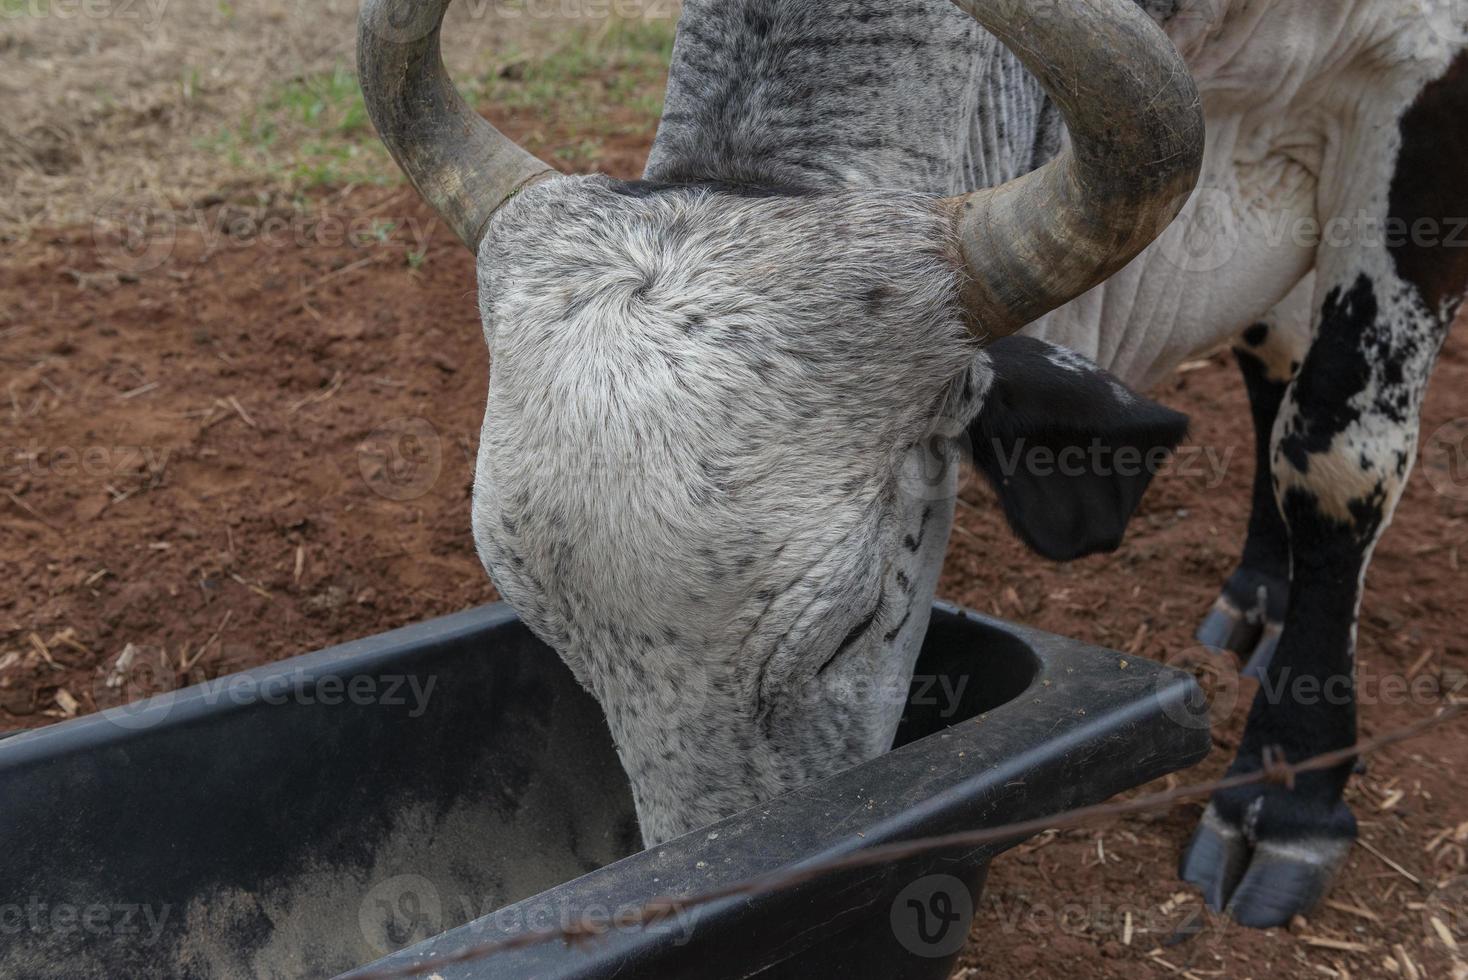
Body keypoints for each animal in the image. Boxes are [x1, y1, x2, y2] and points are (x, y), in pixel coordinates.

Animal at [358, 0, 1468, 927]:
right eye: (558, 642)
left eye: (852, 625)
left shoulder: (1417, 96)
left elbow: (1333, 460)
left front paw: (1290, 799)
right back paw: (1255, 594)